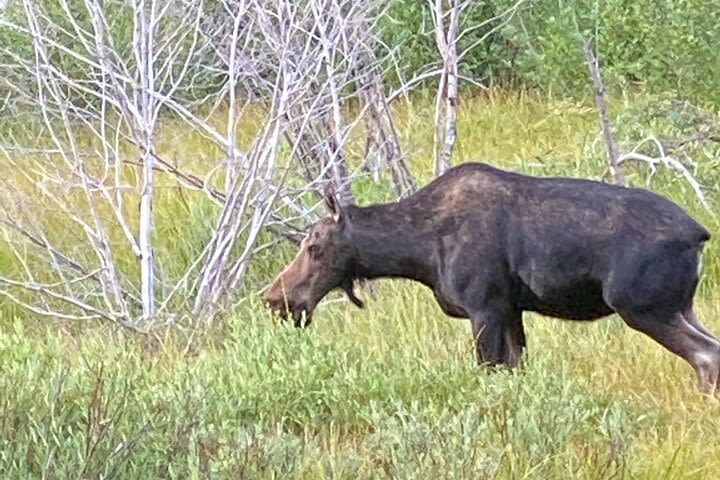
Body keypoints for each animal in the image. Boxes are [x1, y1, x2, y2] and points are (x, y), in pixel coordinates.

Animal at [264, 163, 720, 396]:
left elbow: (487, 373)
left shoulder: (483, 308)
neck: (418, 253)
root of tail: (699, 236)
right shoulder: (510, 310)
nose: (275, 298)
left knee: (706, 356)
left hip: (644, 307)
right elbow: (514, 370)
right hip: (681, 307)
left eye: (314, 246)